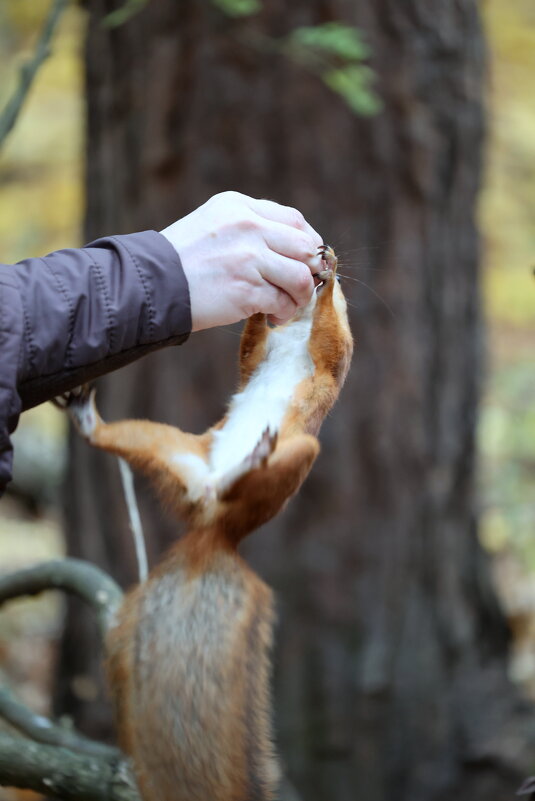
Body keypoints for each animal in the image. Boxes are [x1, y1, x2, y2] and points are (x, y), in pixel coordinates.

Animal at [61, 244, 352, 800]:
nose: (321, 253)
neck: (298, 328)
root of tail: (218, 528)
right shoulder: (259, 355)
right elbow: (251, 346)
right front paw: (262, 302)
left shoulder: (334, 361)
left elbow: (330, 341)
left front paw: (325, 279)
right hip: (167, 445)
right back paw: (90, 420)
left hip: (298, 452)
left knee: (247, 485)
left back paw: (251, 461)